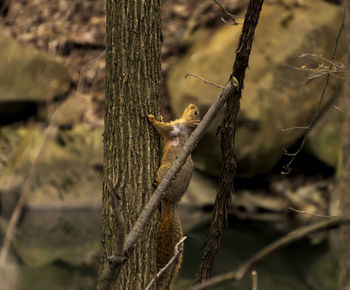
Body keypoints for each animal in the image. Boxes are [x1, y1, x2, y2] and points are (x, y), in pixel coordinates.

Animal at [147, 103, 200, 288]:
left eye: (196, 112)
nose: (192, 104)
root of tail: (173, 202)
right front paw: (161, 116)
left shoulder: (174, 129)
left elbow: (162, 128)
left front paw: (153, 119)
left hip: (164, 171)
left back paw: (156, 183)